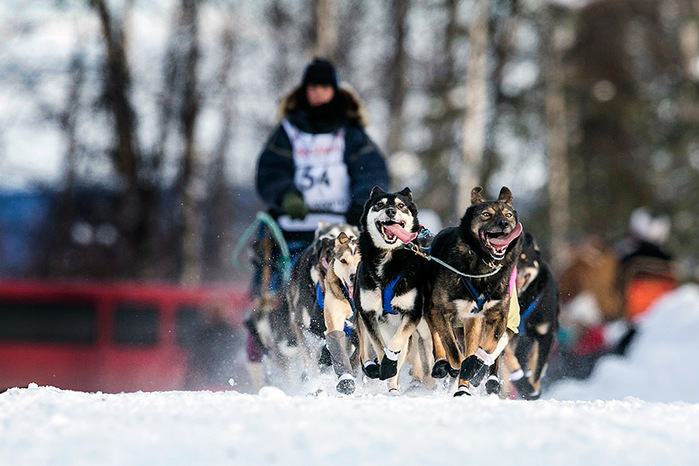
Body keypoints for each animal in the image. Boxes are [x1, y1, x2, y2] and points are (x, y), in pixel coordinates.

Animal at [356, 186, 426, 394]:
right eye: (379, 204)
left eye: (401, 205)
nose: (390, 211)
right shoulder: (368, 313)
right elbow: (379, 346)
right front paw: (382, 366)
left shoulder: (412, 313)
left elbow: (395, 343)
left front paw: (389, 366)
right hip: (361, 317)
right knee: (364, 348)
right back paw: (372, 367)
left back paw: (393, 388)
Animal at [424, 187, 524, 396]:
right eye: (486, 214)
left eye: (508, 215)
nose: (504, 223)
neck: (483, 266)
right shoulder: (440, 311)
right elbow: (452, 348)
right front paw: (457, 366)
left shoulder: (497, 315)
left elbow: (492, 342)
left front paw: (473, 365)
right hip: (432, 309)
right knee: (439, 338)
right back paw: (444, 365)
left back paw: (472, 383)